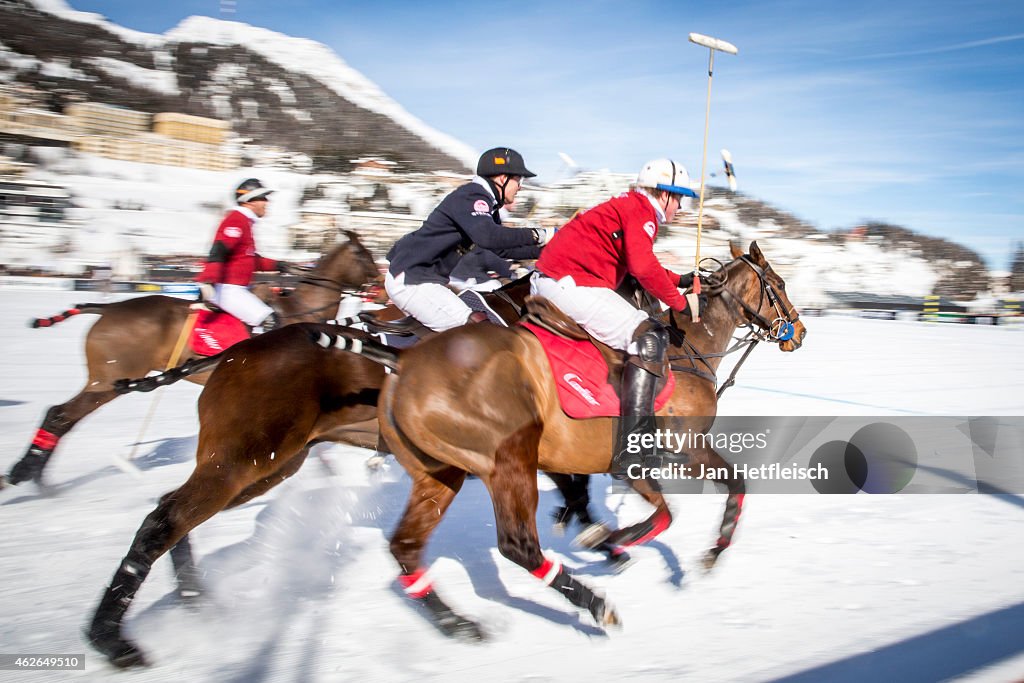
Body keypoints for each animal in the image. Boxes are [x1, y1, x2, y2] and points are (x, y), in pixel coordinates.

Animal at [3, 232, 380, 489]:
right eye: (364, 254)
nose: (378, 283)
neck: (301, 310)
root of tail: (107, 308)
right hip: (111, 380)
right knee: (61, 415)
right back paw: (28, 476)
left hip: (106, 380)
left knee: (60, 416)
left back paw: (34, 477)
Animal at [299, 241, 802, 634]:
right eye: (778, 283)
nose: (798, 331)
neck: (686, 351)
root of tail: (402, 363)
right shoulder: (669, 450)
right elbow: (678, 508)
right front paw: (635, 542)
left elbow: (664, 500)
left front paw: (610, 537)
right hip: (507, 461)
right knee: (516, 545)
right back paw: (594, 604)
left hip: (439, 472)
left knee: (406, 546)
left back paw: (459, 624)